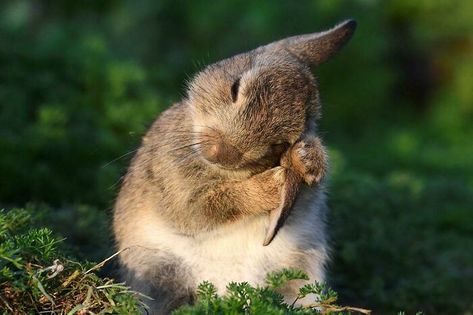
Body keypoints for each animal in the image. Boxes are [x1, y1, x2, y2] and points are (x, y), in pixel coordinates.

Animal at [112, 19, 356, 314]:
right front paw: (271, 185)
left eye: (280, 143)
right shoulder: (173, 185)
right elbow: (203, 209)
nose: (224, 153)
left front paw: (309, 159)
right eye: (235, 88)